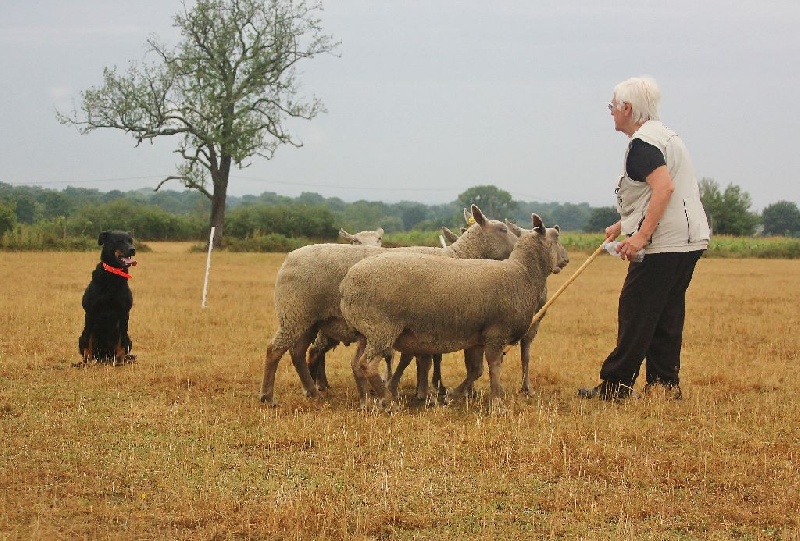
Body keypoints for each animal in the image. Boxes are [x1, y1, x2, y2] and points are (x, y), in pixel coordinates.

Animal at [78, 230, 138, 364]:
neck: (113, 275)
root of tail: (105, 357)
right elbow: (89, 342)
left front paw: (120, 361)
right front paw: (88, 362)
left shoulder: (124, 313)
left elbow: (121, 342)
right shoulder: (90, 312)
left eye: (130, 240)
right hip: (81, 337)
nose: (132, 249)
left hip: (129, 339)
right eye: (119, 241)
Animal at [258, 205, 520, 402]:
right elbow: (423, 359)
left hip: (308, 319)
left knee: (297, 352)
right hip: (295, 313)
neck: (458, 256)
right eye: (502, 229)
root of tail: (289, 258)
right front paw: (421, 393)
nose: (519, 243)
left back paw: (312, 391)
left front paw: (421, 391)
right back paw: (268, 396)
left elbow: (422, 358)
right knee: (275, 349)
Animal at [340, 213, 564, 408]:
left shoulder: (479, 336)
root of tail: (346, 285)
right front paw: (497, 403)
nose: (565, 260)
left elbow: (476, 370)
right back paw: (388, 401)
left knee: (356, 363)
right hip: (382, 329)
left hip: (366, 331)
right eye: (556, 236)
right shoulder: (496, 333)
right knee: (367, 365)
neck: (522, 273)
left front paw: (453, 395)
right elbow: (494, 367)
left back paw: (369, 400)